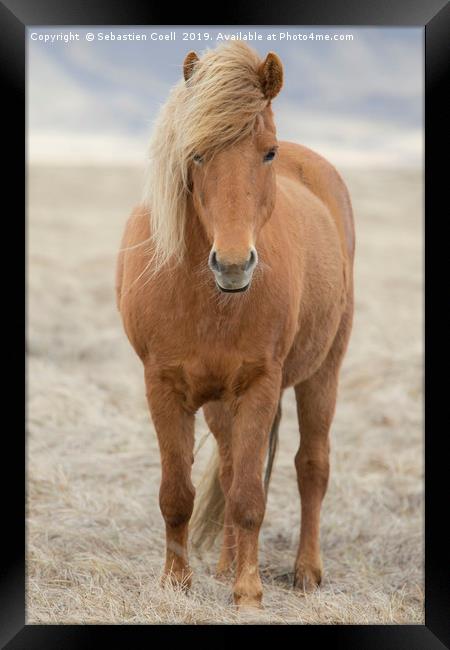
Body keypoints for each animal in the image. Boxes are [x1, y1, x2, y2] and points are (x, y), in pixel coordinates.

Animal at [116, 41, 356, 608]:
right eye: (196, 154)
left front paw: (248, 592)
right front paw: (176, 583)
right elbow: (178, 494)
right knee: (227, 468)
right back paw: (225, 565)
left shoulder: (260, 384)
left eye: (267, 152)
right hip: (219, 403)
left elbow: (250, 495)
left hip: (322, 371)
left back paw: (306, 572)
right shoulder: (164, 386)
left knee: (311, 466)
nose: (232, 265)